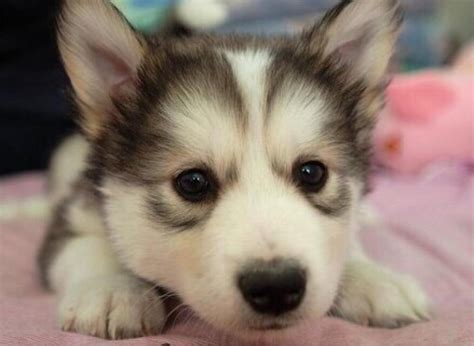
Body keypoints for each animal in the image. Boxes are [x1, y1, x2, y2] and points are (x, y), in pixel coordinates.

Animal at [38, 0, 430, 340]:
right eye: (192, 183)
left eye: (312, 173)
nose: (275, 286)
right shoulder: (77, 208)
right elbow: (87, 245)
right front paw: (113, 288)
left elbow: (346, 241)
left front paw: (375, 278)